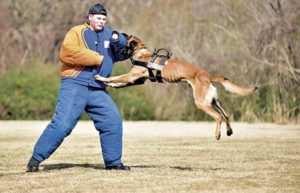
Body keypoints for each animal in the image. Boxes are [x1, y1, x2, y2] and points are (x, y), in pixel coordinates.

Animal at [95, 34, 256, 140]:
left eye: (127, 38)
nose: (120, 33)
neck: (142, 54)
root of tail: (208, 76)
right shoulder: (135, 80)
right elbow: (119, 82)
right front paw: (110, 84)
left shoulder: (131, 77)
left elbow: (116, 77)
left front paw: (102, 78)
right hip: (214, 101)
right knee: (226, 115)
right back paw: (229, 131)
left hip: (201, 103)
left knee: (219, 117)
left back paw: (218, 134)